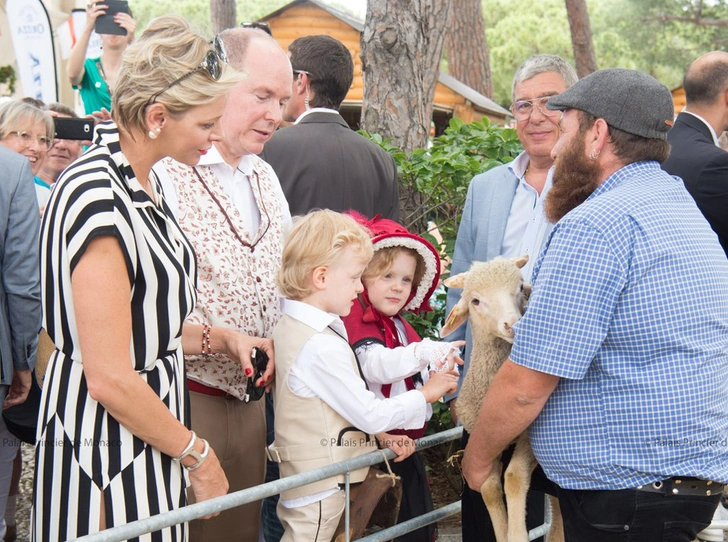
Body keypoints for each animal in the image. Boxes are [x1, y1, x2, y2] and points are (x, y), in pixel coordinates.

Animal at [438, 256, 564, 542]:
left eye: (519, 288)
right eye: (475, 300)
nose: (512, 325)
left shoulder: (530, 437)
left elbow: (514, 477)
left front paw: (516, 534)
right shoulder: (482, 443)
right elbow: (489, 488)